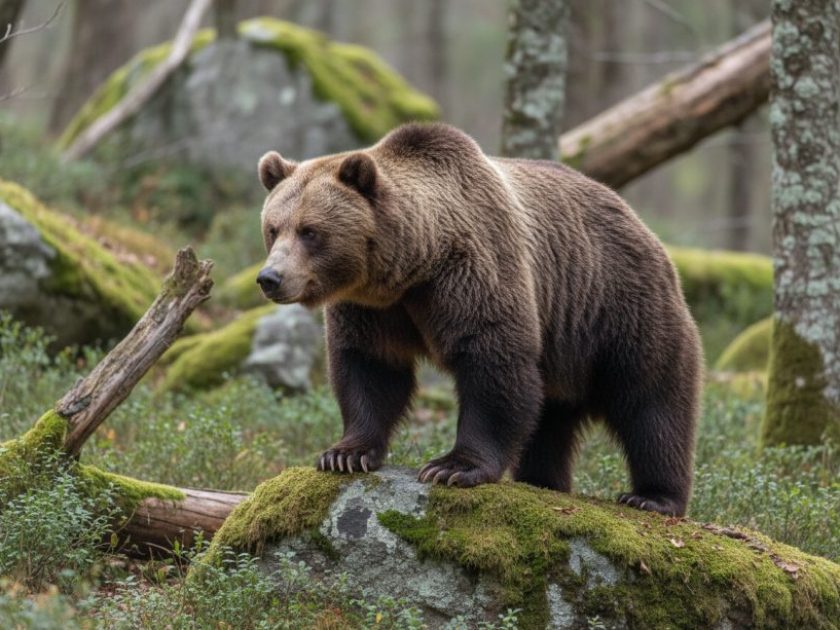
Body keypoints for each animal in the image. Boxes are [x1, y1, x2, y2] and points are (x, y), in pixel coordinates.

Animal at [256, 122, 703, 517]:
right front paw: (345, 454)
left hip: (618, 309)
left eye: (311, 231)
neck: (412, 267)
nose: (269, 278)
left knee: (651, 404)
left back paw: (652, 496)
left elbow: (492, 362)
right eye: (273, 228)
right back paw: (542, 480)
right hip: (564, 350)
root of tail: (642, 225)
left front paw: (452, 467)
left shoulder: (473, 271)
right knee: (551, 419)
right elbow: (370, 369)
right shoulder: (373, 309)